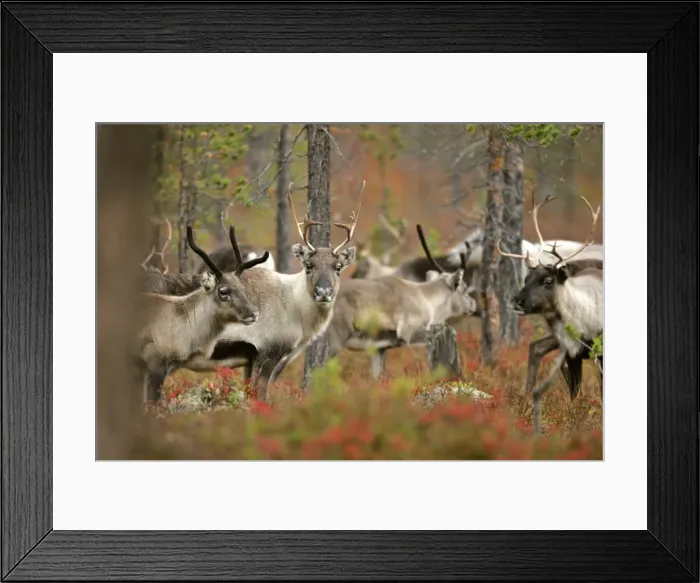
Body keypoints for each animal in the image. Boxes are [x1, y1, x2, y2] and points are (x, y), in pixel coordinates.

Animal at [179, 181, 365, 401]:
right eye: (308, 265)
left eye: (338, 267)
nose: (323, 292)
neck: (296, 310)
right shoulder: (268, 353)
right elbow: (260, 397)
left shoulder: (252, 359)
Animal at [327, 224, 478, 378]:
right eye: (463, 287)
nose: (474, 304)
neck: (425, 298)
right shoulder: (409, 334)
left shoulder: (379, 349)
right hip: (335, 340)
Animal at [496, 194, 603, 435]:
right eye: (526, 278)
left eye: (548, 280)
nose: (516, 300)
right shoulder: (573, 353)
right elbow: (575, 394)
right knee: (535, 347)